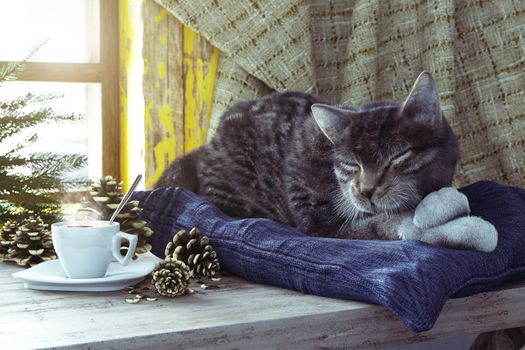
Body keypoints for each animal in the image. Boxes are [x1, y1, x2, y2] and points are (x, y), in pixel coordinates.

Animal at [155, 72, 496, 252]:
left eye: (398, 156)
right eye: (350, 164)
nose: (366, 191)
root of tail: (206, 146)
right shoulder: (324, 225)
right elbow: (391, 223)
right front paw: (465, 228)